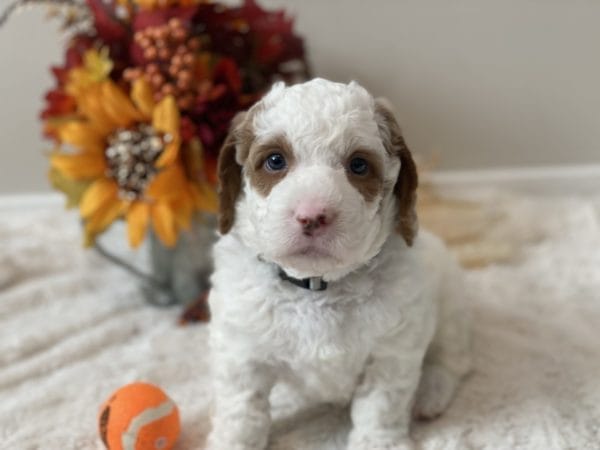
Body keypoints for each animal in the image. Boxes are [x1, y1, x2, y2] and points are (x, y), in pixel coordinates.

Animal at [206, 79, 468, 448]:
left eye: (358, 165)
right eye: (275, 160)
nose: (312, 215)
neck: (317, 287)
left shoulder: (391, 353)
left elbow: (381, 406)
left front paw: (379, 443)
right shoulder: (241, 352)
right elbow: (242, 411)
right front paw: (234, 441)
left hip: (450, 307)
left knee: (453, 358)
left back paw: (431, 393)